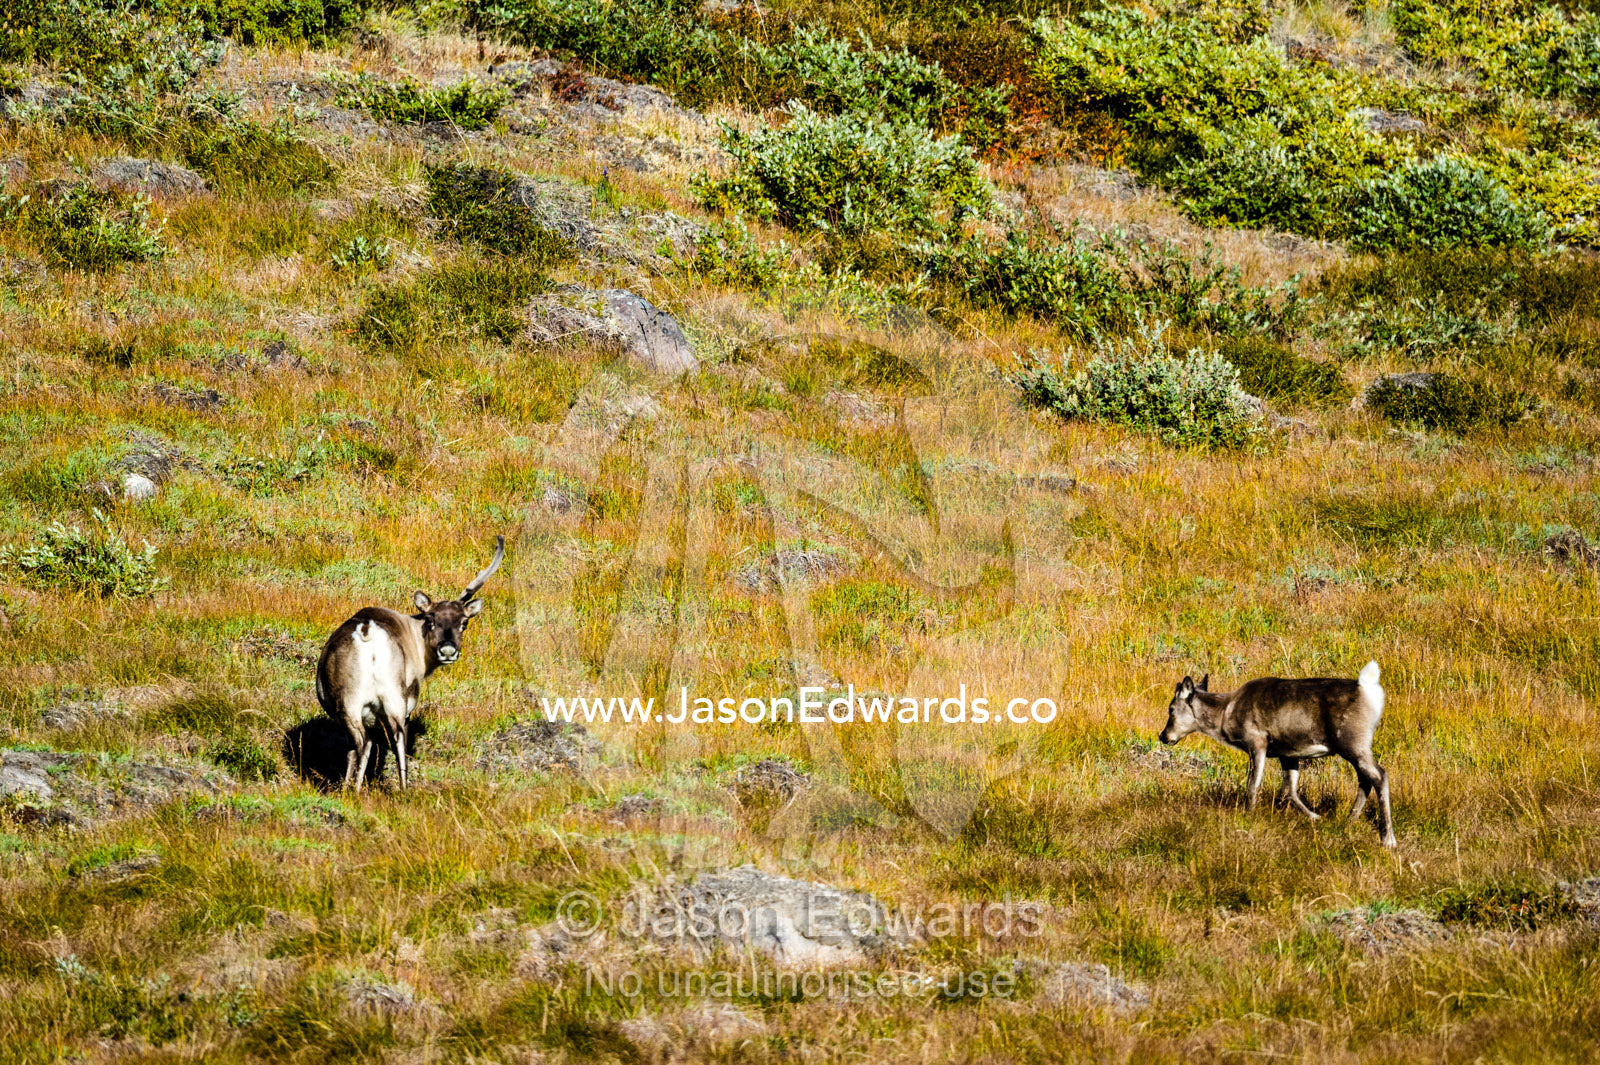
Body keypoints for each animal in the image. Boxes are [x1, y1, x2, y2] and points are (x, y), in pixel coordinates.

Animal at [315, 536, 504, 791]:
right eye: (431, 620)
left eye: (464, 623)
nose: (447, 650)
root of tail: (367, 633)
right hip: (388, 699)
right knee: (386, 742)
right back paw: (396, 790)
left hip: (361, 702)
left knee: (369, 743)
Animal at [1158, 661, 1396, 847]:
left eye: (1171, 708)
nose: (1163, 736)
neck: (1225, 714)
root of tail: (1369, 689)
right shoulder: (1288, 754)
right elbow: (1289, 791)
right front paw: (1315, 817)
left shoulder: (1257, 742)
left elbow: (1253, 785)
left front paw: (1249, 817)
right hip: (1354, 748)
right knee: (1364, 780)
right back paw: (1348, 821)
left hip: (1353, 743)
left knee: (1379, 776)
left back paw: (1387, 839)